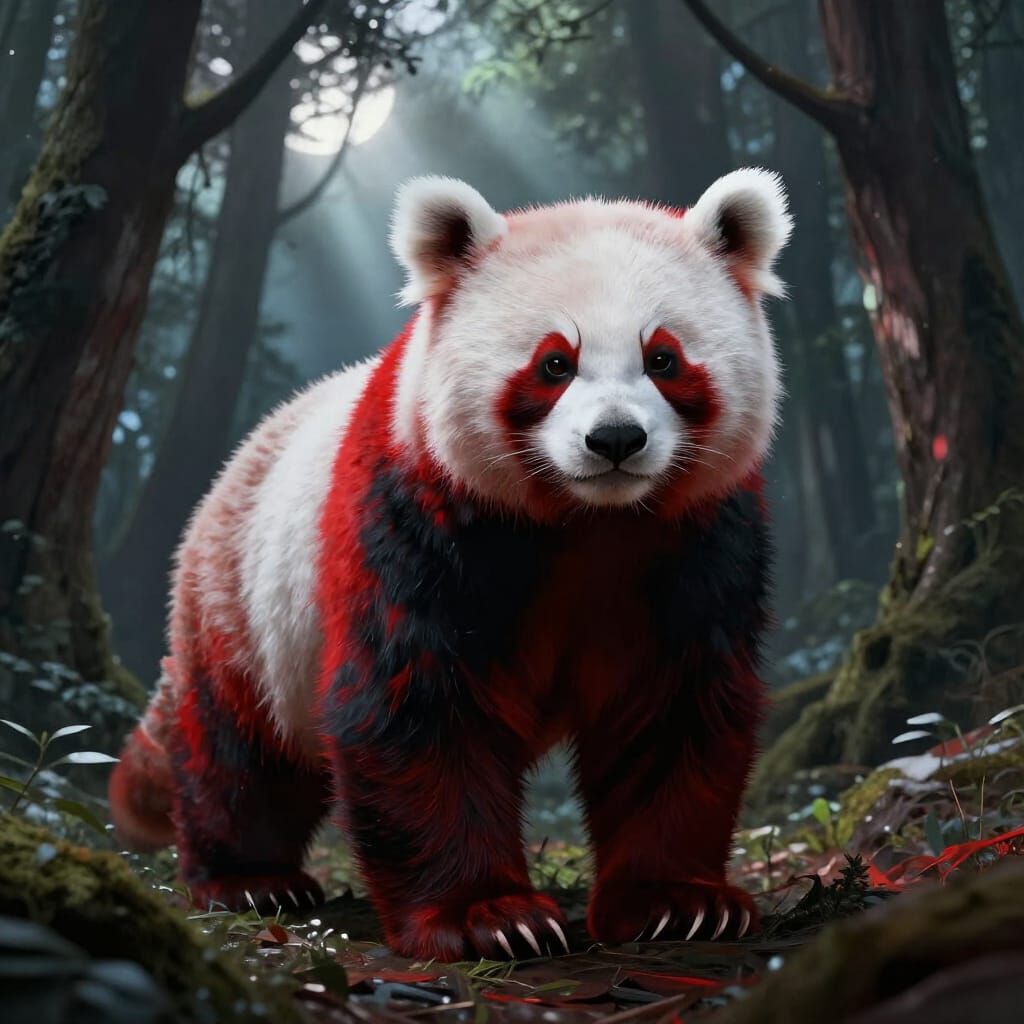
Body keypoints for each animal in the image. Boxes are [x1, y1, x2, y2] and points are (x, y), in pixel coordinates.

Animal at [110, 169, 792, 962]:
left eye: (663, 359)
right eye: (555, 363)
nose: (616, 440)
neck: (588, 517)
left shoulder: (698, 535)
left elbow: (673, 702)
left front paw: (678, 904)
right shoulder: (416, 511)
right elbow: (418, 702)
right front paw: (489, 917)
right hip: (245, 601)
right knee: (240, 748)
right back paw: (250, 880)